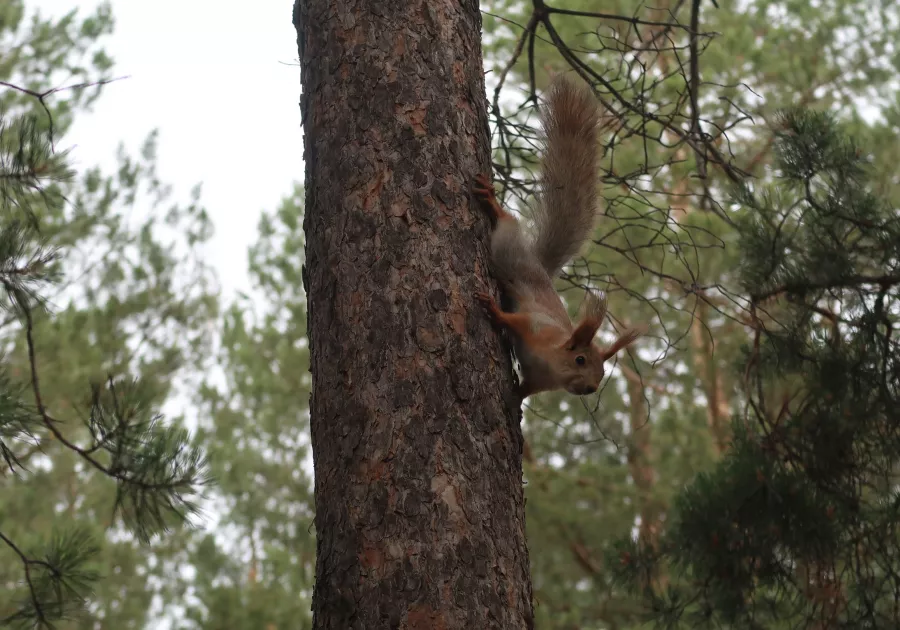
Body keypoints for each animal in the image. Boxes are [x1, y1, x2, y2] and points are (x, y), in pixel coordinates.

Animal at [474, 76, 644, 398]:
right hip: (510, 254)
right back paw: (493, 205)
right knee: (508, 225)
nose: (590, 388)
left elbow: (522, 392)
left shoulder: (537, 382)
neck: (550, 364)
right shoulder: (536, 327)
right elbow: (515, 320)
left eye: (602, 373)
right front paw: (494, 311)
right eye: (580, 360)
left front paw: (515, 403)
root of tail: (540, 268)